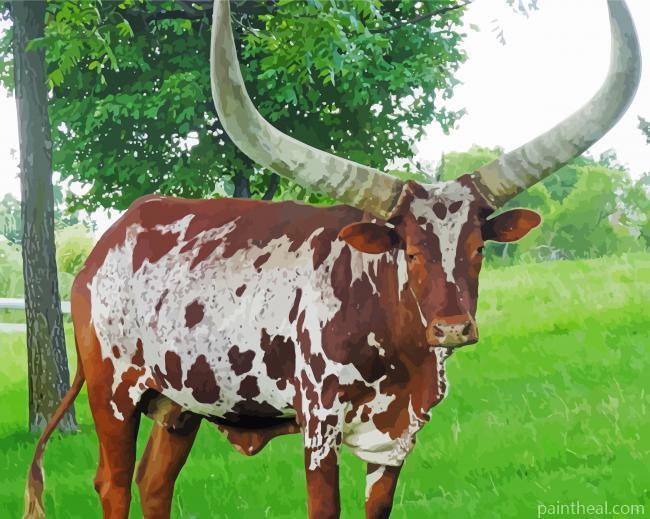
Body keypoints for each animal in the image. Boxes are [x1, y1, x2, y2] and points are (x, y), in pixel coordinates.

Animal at [23, 1, 640, 518]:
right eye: (408, 248)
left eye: (478, 247)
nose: (453, 328)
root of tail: (105, 244)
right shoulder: (319, 425)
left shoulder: (397, 439)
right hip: (112, 395)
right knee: (114, 484)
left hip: (179, 407)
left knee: (155, 485)